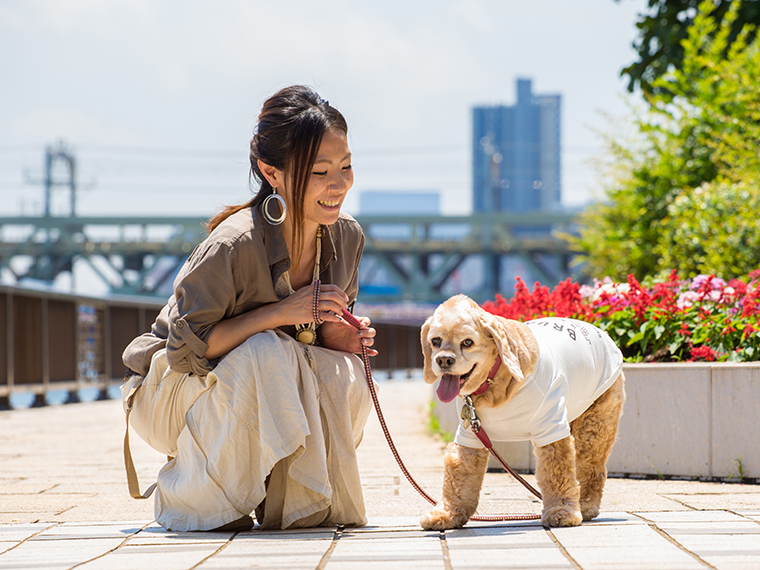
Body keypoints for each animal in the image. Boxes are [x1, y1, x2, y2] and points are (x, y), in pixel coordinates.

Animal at [418, 292, 628, 528]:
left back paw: (585, 505)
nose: (444, 360)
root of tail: (604, 335)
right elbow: (459, 475)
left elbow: (558, 471)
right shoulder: (470, 434)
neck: (494, 385)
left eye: (467, 342)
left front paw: (562, 512)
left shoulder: (551, 426)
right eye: (435, 341)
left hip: (595, 423)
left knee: (593, 467)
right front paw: (448, 514)